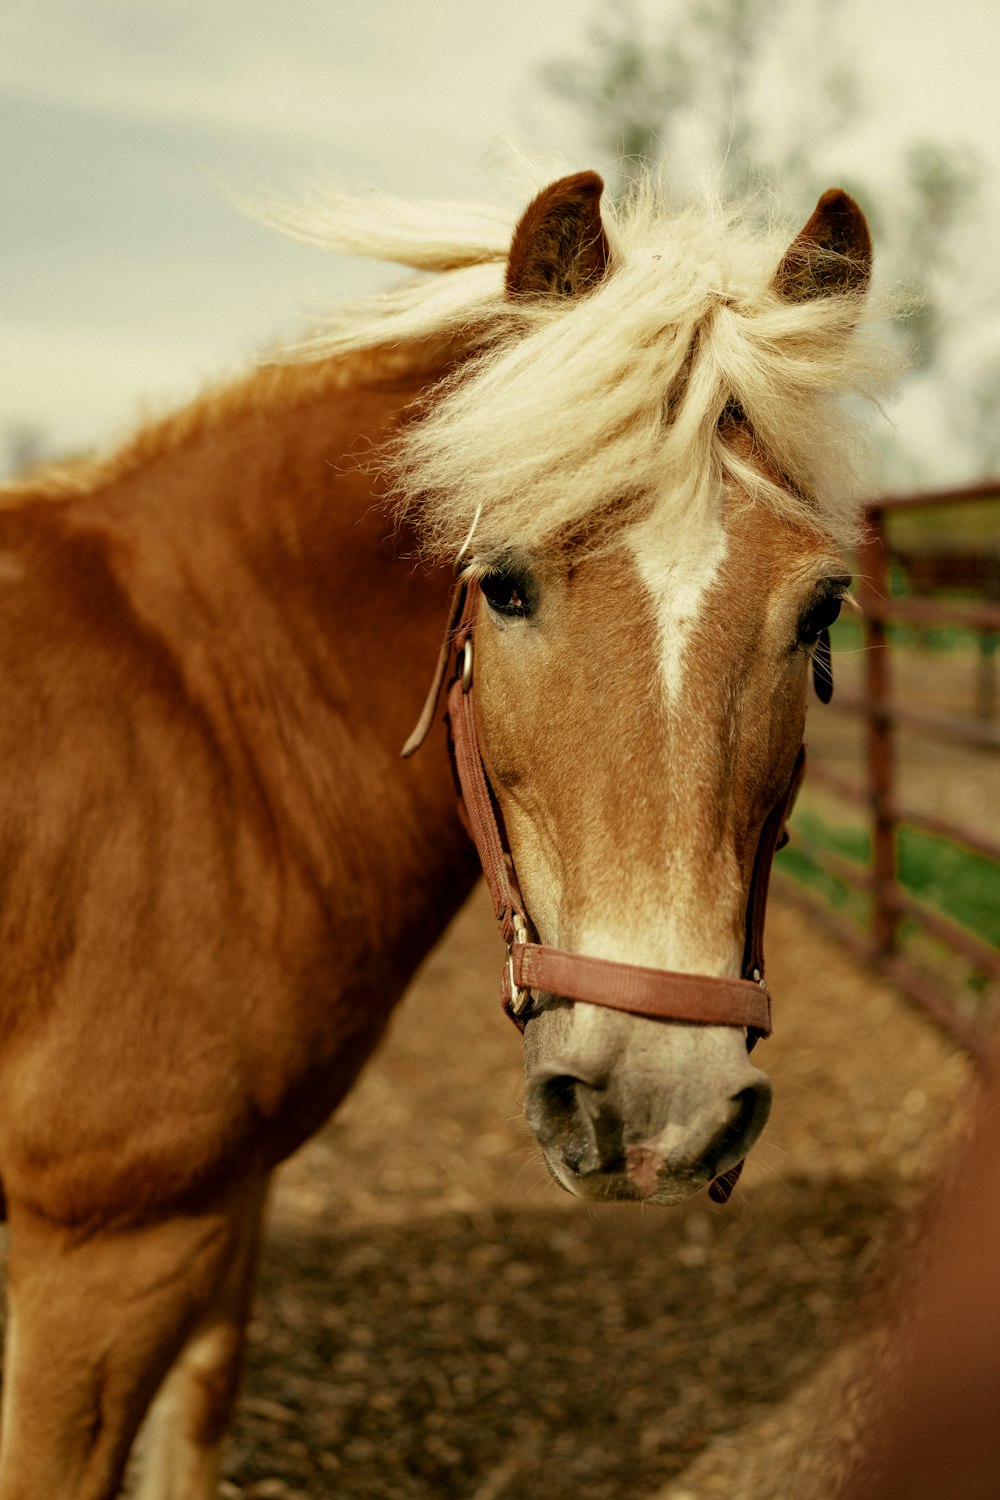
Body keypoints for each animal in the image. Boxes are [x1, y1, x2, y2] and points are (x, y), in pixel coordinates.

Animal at [0, 170, 893, 1494]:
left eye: (821, 609)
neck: (202, 708)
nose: (655, 1104)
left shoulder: (221, 1212)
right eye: (503, 584)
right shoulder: (104, 1254)